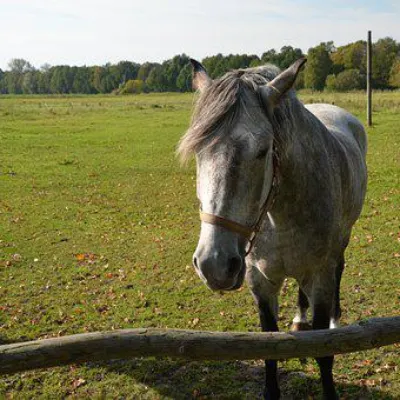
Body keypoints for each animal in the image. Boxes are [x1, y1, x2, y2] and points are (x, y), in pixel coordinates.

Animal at [178, 57, 366, 400]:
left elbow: (323, 351)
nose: (214, 265)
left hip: (342, 242)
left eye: (263, 150)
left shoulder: (320, 277)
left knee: (340, 269)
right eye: (198, 150)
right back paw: (299, 319)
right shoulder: (260, 282)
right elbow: (269, 349)